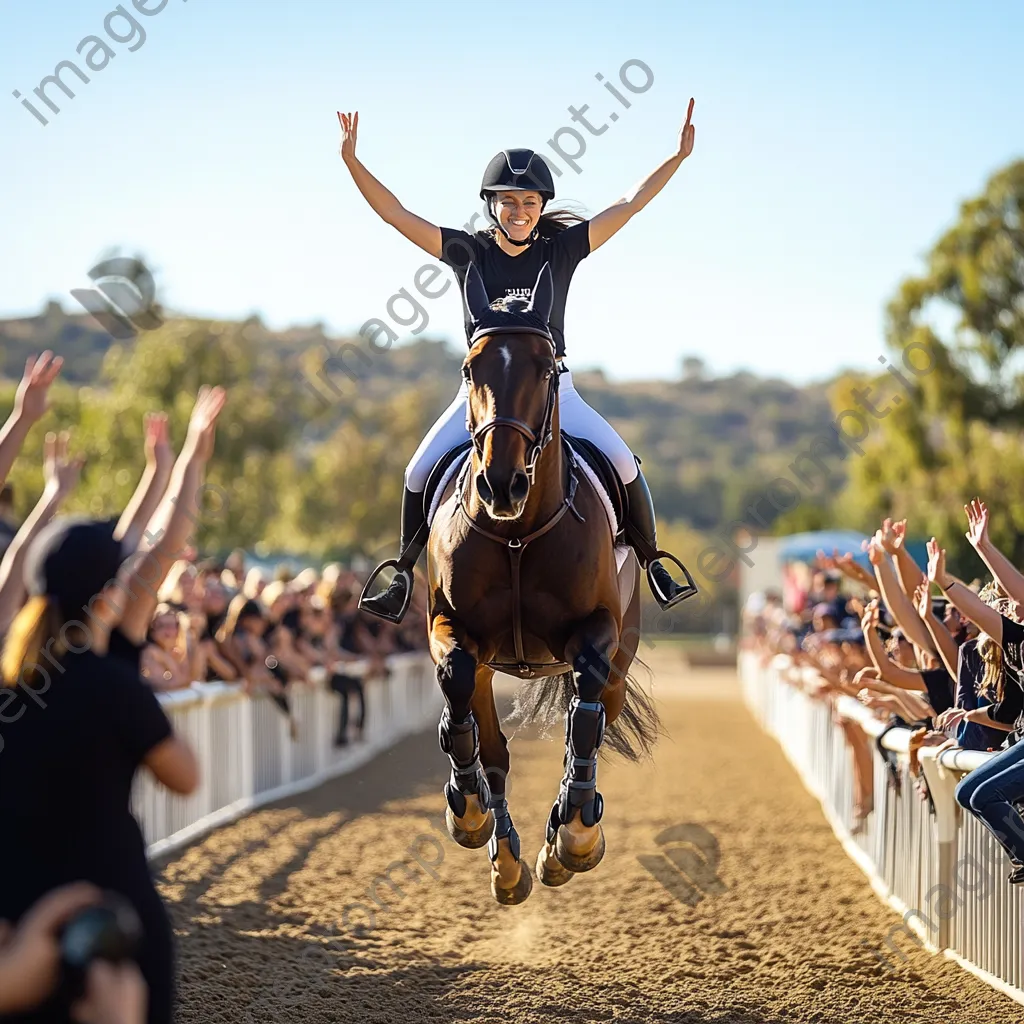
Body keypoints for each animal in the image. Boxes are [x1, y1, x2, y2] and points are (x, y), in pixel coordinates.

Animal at [425, 262, 659, 905]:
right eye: (470, 369)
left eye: (545, 368)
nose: (499, 483)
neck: (517, 532)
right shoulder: (451, 628)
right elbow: (460, 698)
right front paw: (466, 809)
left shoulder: (596, 634)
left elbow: (584, 719)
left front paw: (576, 834)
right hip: (488, 666)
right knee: (493, 746)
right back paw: (504, 857)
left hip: (622, 654)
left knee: (595, 715)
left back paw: (563, 841)